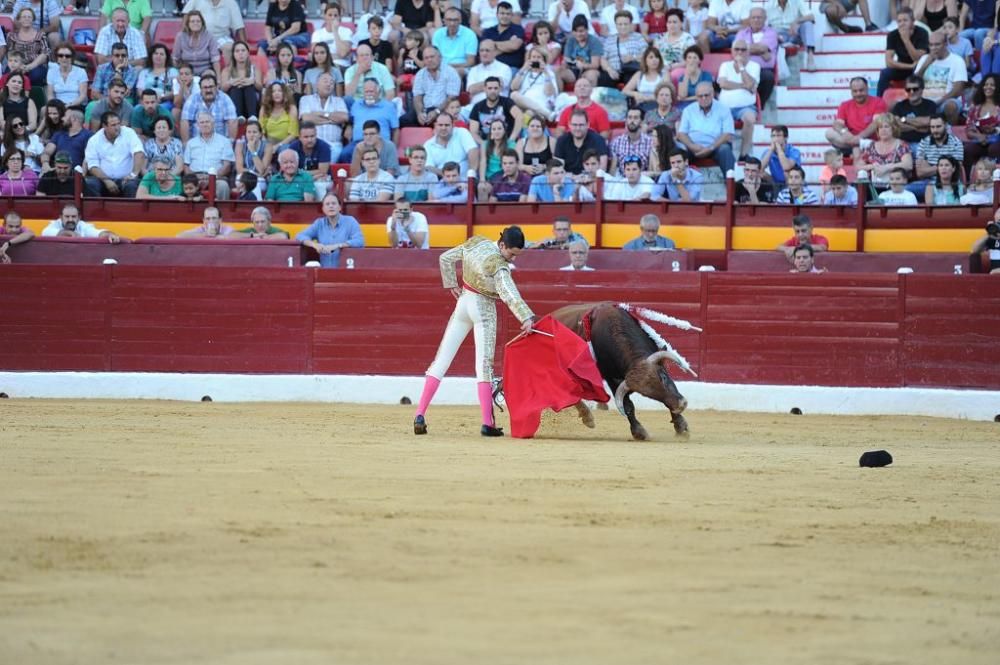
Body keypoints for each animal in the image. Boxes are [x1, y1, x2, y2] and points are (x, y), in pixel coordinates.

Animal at [552, 302, 692, 440]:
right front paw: (639, 432)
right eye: (645, 394)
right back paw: (587, 417)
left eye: (663, 376)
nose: (681, 405)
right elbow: (627, 406)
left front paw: (681, 427)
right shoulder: (612, 379)